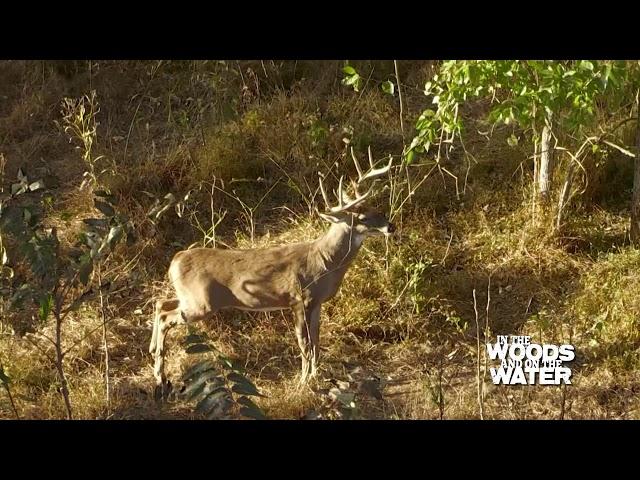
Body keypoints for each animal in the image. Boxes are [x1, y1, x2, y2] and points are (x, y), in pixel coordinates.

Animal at [149, 148, 396, 396]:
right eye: (362, 218)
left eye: (376, 208)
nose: (391, 226)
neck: (325, 262)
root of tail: (176, 259)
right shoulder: (300, 298)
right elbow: (304, 343)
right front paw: (304, 381)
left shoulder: (316, 302)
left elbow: (316, 341)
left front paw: (315, 376)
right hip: (202, 303)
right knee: (166, 317)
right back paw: (160, 375)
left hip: (190, 297)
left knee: (161, 303)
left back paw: (153, 353)